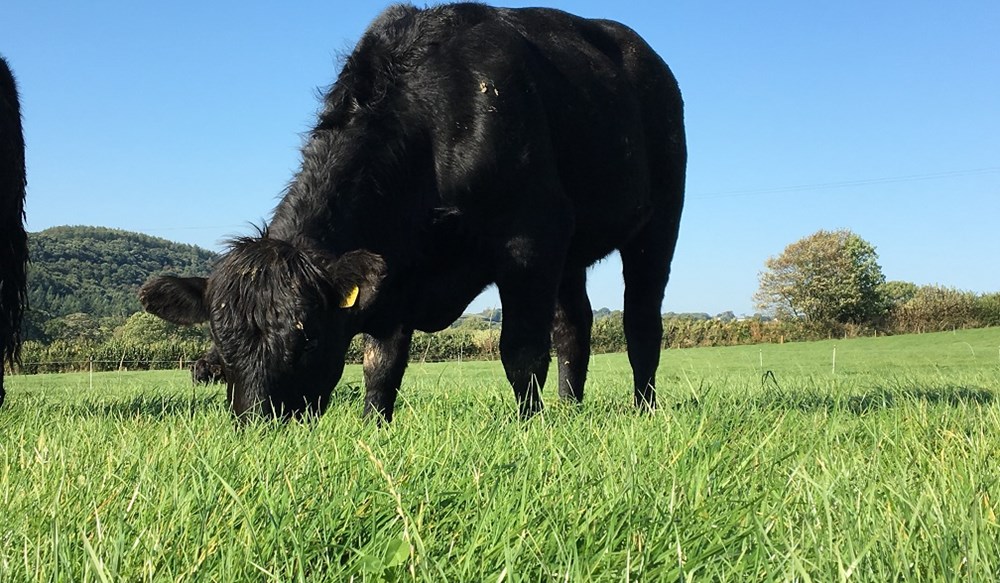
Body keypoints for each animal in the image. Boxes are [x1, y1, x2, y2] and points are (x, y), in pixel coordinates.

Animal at [140, 3, 686, 423]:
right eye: (221, 345)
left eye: (307, 338)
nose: (258, 422)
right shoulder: (396, 268)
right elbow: (381, 364)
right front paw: (373, 426)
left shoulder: (531, 236)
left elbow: (521, 350)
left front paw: (528, 425)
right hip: (571, 252)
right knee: (574, 325)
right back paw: (571, 408)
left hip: (658, 222)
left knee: (640, 321)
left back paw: (642, 408)